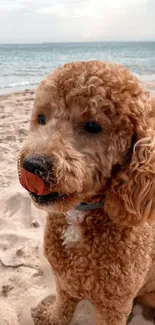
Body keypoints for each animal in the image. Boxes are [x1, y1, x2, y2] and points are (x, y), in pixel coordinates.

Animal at [18, 61, 155, 324]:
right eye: (41, 118)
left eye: (93, 126)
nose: (32, 165)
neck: (79, 213)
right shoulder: (63, 282)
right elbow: (63, 306)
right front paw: (50, 317)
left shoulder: (114, 306)